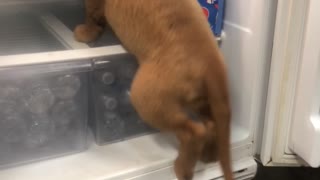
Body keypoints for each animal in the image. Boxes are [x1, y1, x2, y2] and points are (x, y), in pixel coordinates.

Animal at [74, 0, 232, 179]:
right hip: (197, 100)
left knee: (194, 132)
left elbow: (91, 16)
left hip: (147, 99)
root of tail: (210, 62)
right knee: (210, 124)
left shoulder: (95, 4)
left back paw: (183, 169)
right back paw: (207, 155)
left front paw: (85, 32)